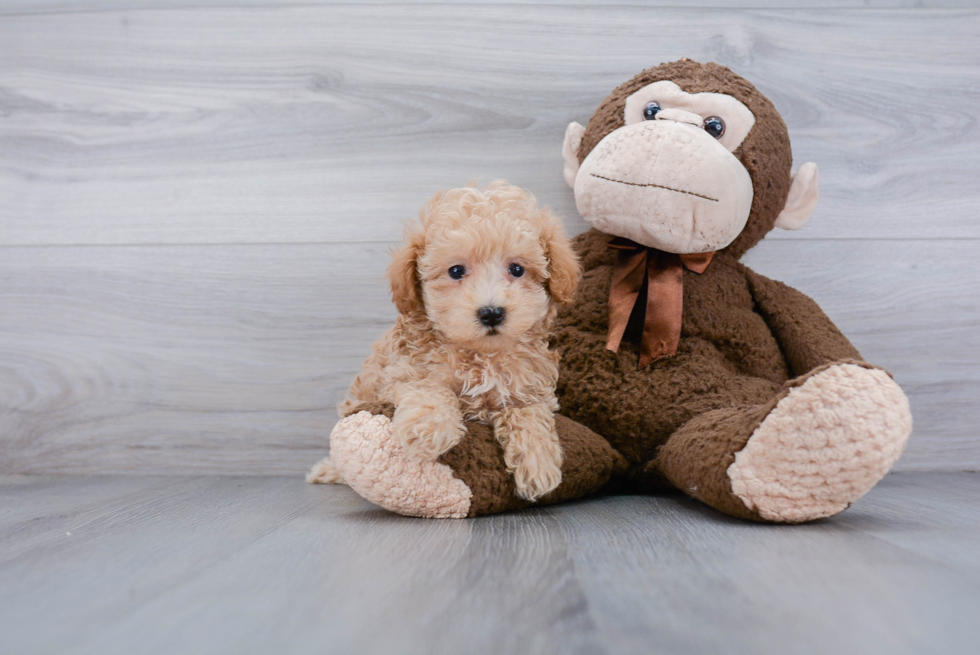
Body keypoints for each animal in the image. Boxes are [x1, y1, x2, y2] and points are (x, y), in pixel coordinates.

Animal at [310, 182, 580, 500]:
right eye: (456, 271)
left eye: (517, 269)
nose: (491, 313)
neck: (482, 356)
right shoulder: (402, 372)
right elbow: (430, 389)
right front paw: (427, 428)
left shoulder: (529, 388)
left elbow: (529, 412)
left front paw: (539, 462)